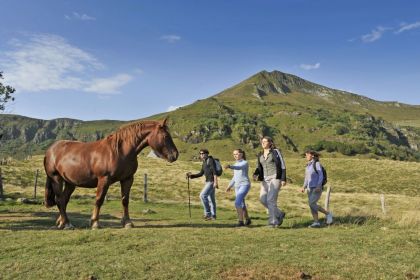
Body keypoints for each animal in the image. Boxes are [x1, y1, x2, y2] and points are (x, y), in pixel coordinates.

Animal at [43, 118, 178, 230]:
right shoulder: (104, 179)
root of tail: (50, 149)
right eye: (165, 136)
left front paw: (127, 222)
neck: (119, 151)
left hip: (71, 182)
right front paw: (95, 223)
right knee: (59, 199)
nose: (175, 155)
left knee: (64, 199)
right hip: (56, 178)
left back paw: (62, 222)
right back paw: (66, 224)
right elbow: (99, 200)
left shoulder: (128, 179)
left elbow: (125, 200)